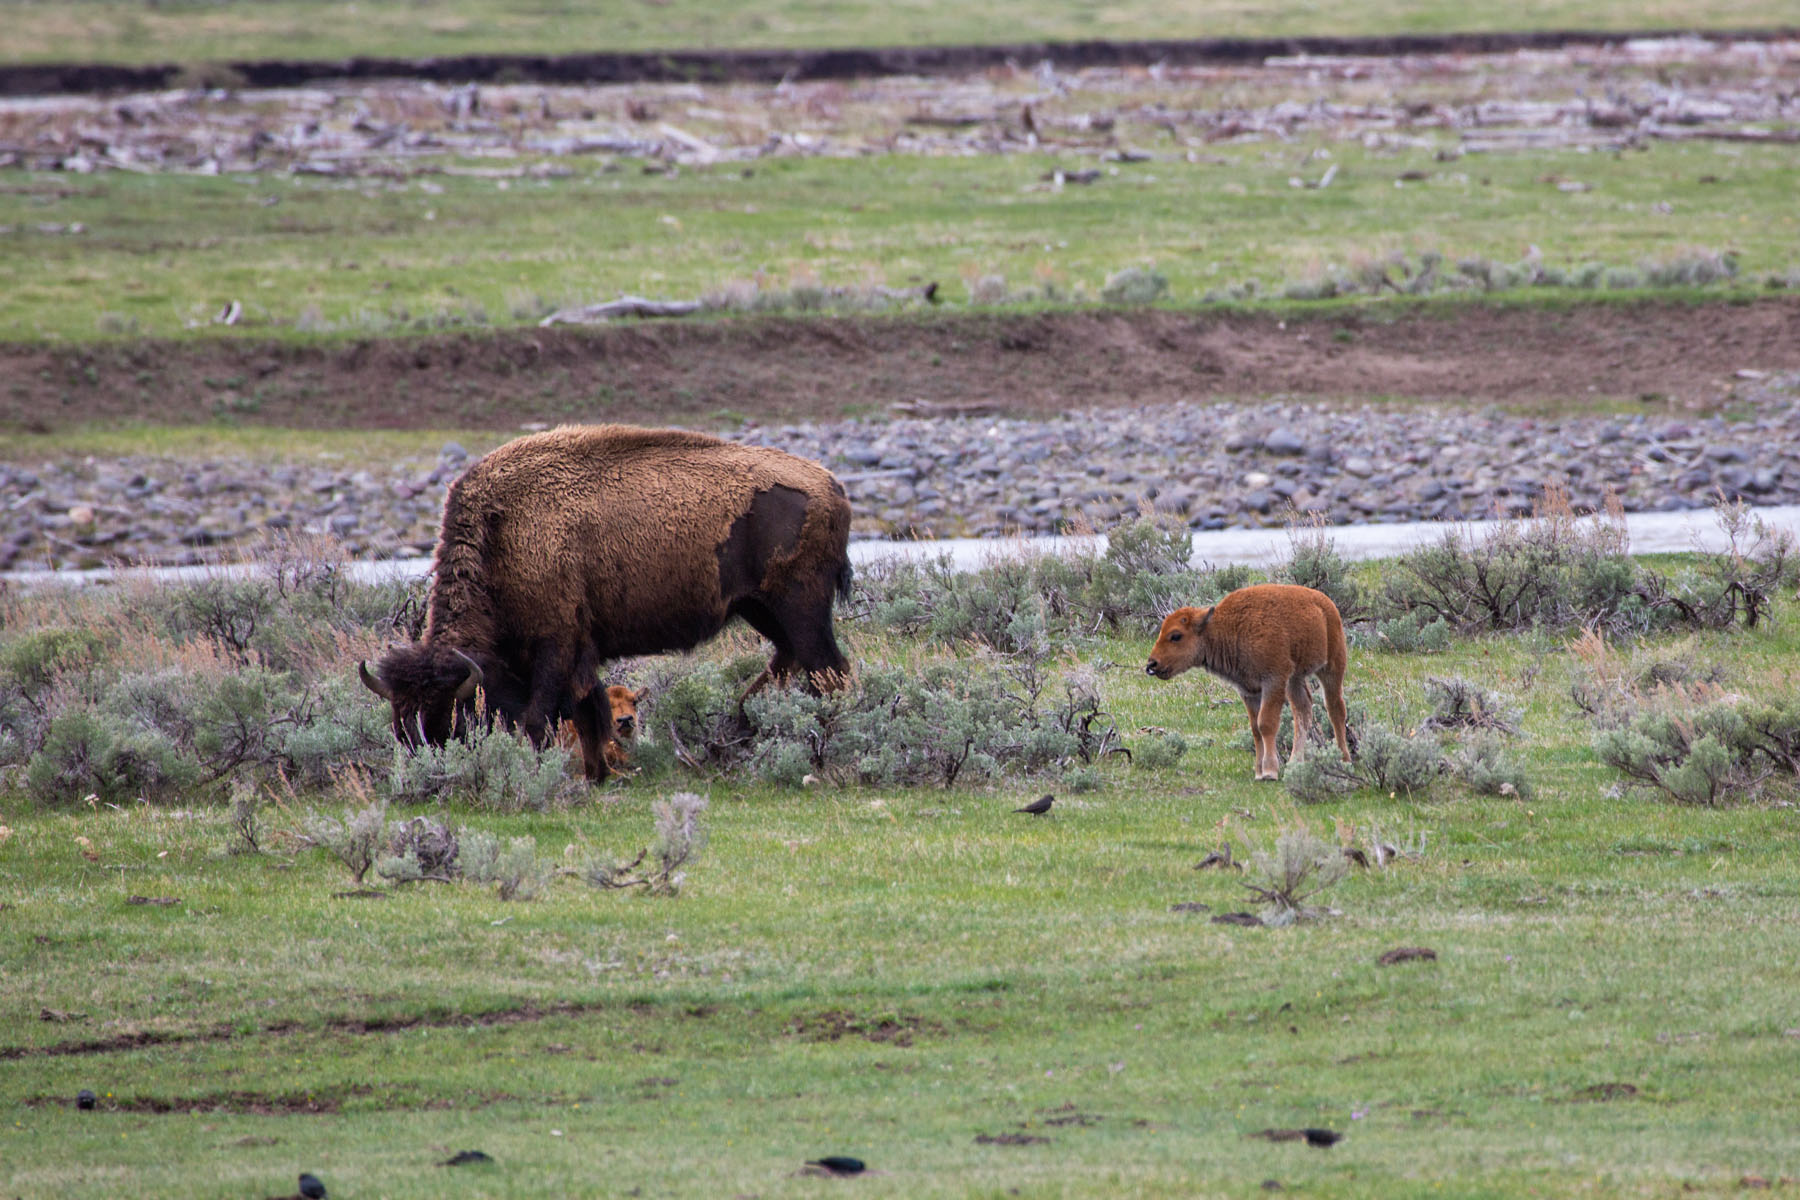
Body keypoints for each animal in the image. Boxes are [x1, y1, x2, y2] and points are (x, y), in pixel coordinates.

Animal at [358, 425, 854, 781]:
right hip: (759, 608)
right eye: (401, 728)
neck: (503, 536)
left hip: (799, 606)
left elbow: (542, 717)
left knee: (828, 670)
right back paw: (742, 730)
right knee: (790, 662)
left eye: (451, 721)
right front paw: (596, 775)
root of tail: (831, 484)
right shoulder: (580, 652)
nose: (430, 775)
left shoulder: (556, 646)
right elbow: (587, 711)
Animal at [1144, 583, 1350, 781]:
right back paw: (1294, 763)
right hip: (1295, 679)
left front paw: (1269, 772)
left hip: (1331, 666)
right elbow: (1255, 729)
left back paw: (1343, 760)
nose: (1152, 664)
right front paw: (1259, 772)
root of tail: (1326, 604)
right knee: (1303, 710)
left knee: (1335, 709)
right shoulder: (1248, 690)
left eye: (1176, 635)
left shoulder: (1273, 681)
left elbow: (1266, 723)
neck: (1228, 627)